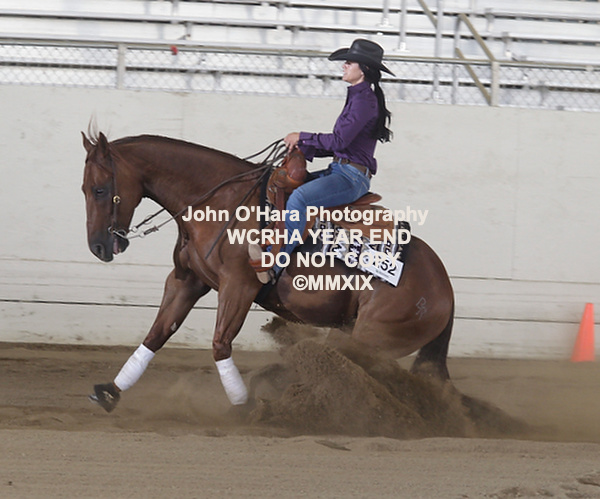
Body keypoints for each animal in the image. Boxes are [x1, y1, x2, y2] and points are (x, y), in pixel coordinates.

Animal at [81, 132, 455, 412]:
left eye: (100, 189)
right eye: (84, 189)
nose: (97, 246)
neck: (218, 201)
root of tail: (444, 289)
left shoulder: (238, 286)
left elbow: (220, 344)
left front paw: (243, 406)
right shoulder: (187, 280)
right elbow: (156, 335)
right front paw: (111, 391)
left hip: (368, 339)